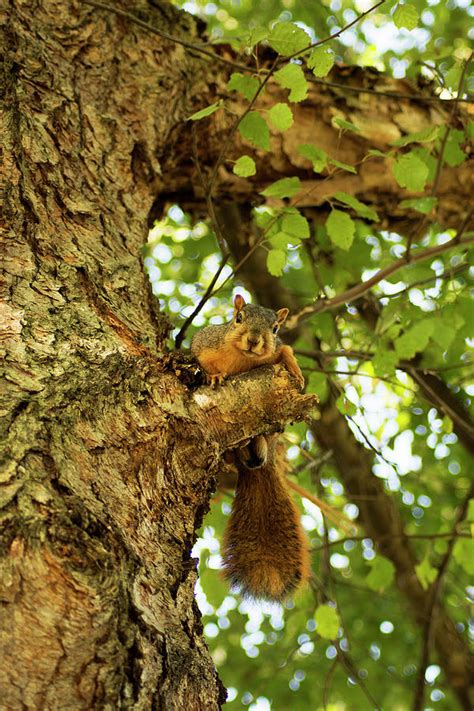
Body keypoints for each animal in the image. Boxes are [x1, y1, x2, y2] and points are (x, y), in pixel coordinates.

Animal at [191, 294, 312, 600]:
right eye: (238, 318)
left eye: (276, 328)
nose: (255, 340)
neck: (242, 359)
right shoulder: (204, 344)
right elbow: (201, 360)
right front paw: (214, 376)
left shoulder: (276, 350)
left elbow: (285, 351)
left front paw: (295, 369)